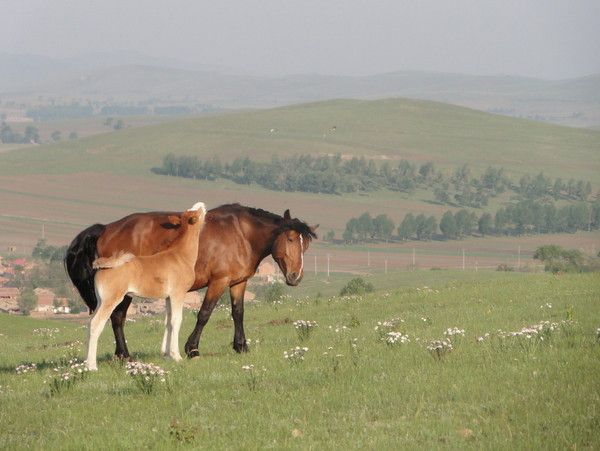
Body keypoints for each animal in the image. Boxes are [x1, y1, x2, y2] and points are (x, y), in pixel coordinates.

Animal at [64, 203, 318, 358]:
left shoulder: (238, 282)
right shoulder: (219, 281)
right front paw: (192, 348)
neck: (241, 234)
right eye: (291, 239)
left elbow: (238, 313)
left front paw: (241, 346)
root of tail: (106, 229)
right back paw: (124, 355)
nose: (296, 277)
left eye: (306, 244)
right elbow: (204, 314)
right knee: (117, 317)